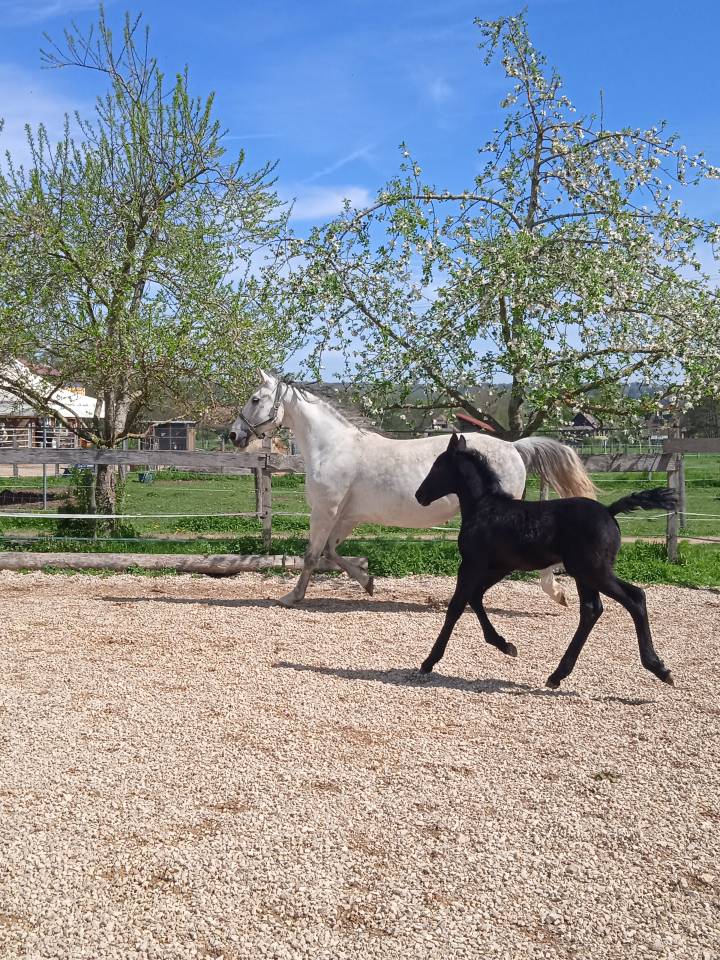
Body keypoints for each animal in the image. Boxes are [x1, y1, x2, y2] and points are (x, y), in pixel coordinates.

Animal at [229, 372, 595, 609]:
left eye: (255, 399)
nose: (233, 434)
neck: (333, 447)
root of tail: (514, 447)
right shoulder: (346, 516)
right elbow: (331, 553)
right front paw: (368, 583)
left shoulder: (324, 510)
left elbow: (311, 555)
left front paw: (292, 597)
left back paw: (553, 594)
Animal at [415, 432, 676, 688]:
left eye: (438, 466)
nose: (420, 495)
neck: (484, 507)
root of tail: (610, 511)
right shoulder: (498, 567)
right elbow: (475, 598)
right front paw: (505, 645)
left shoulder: (471, 564)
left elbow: (457, 607)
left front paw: (429, 661)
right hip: (585, 574)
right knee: (592, 609)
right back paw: (558, 674)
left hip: (594, 571)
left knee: (635, 599)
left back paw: (658, 668)